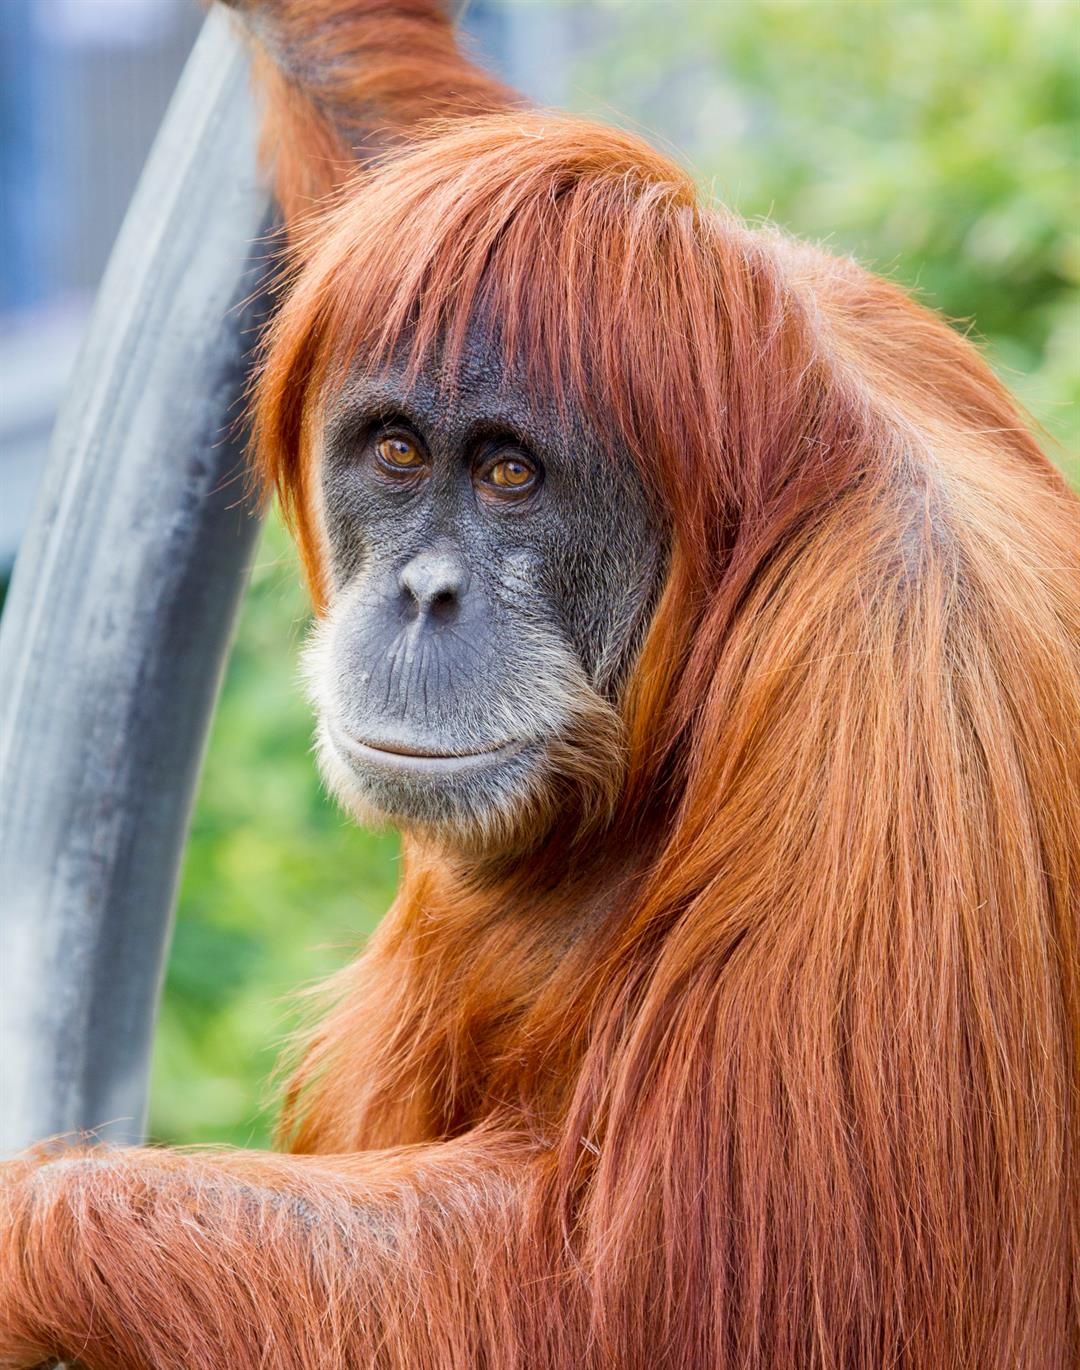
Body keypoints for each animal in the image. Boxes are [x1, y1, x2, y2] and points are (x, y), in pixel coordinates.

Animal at [1, 3, 1076, 1368]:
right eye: (398, 453)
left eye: (511, 474)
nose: (424, 594)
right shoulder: (844, 316)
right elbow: (393, 138)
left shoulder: (898, 697)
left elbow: (703, 1293)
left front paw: (22, 1225)